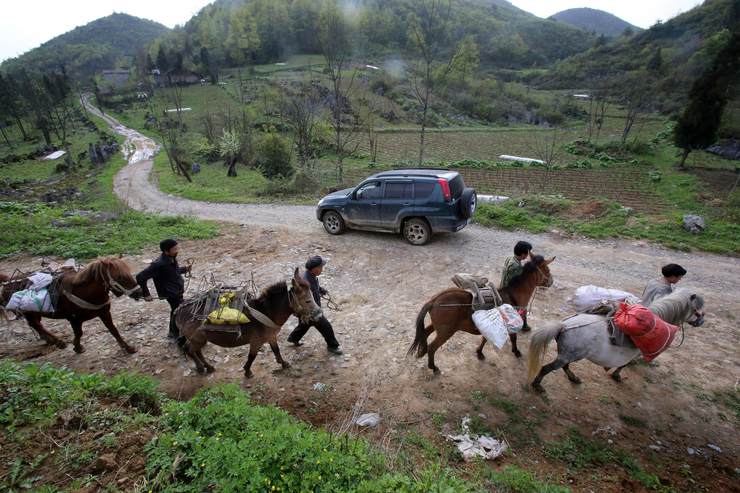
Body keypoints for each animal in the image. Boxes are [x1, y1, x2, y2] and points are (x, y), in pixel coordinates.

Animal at [0, 258, 143, 354]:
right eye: (119, 277)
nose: (139, 292)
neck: (85, 292)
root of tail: (7, 281)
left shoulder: (104, 313)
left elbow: (113, 330)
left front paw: (128, 347)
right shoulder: (73, 318)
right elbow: (79, 333)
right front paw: (78, 347)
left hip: (34, 313)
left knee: (36, 325)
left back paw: (51, 341)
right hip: (28, 312)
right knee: (36, 325)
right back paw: (58, 342)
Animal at [176, 268, 324, 374]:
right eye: (307, 300)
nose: (319, 315)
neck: (267, 312)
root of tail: (178, 311)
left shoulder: (271, 337)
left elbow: (276, 350)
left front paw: (283, 363)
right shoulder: (256, 342)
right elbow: (251, 356)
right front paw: (247, 371)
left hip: (198, 339)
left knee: (195, 350)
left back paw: (207, 366)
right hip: (197, 338)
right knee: (190, 350)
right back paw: (202, 367)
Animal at [410, 254, 556, 372]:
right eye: (548, 270)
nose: (551, 282)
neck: (513, 295)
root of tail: (434, 300)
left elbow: (485, 338)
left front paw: (479, 352)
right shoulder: (510, 323)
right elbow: (513, 338)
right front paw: (516, 351)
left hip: (438, 327)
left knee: (425, 333)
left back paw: (423, 353)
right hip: (446, 332)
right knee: (432, 347)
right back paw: (433, 367)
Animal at [528, 288, 704, 392]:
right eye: (698, 310)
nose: (701, 322)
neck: (657, 319)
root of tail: (564, 326)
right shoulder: (634, 353)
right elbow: (624, 364)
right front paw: (617, 375)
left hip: (570, 355)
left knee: (565, 367)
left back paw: (574, 378)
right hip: (569, 355)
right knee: (547, 368)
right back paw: (537, 385)